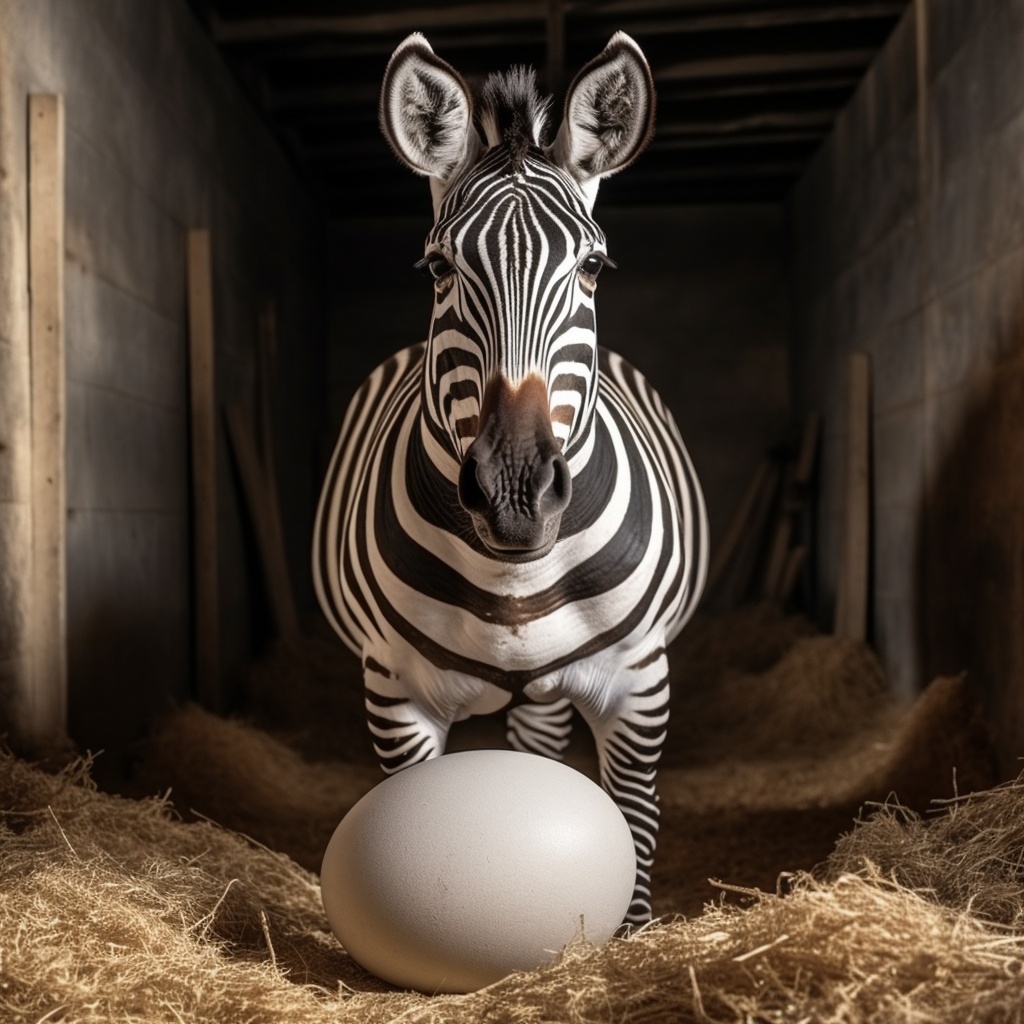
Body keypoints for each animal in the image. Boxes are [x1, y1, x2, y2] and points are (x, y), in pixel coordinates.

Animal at [315, 29, 708, 929]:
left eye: (594, 268)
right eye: (436, 269)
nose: (515, 496)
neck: (513, 579)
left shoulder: (637, 685)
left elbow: (632, 829)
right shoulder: (396, 693)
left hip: (553, 693)